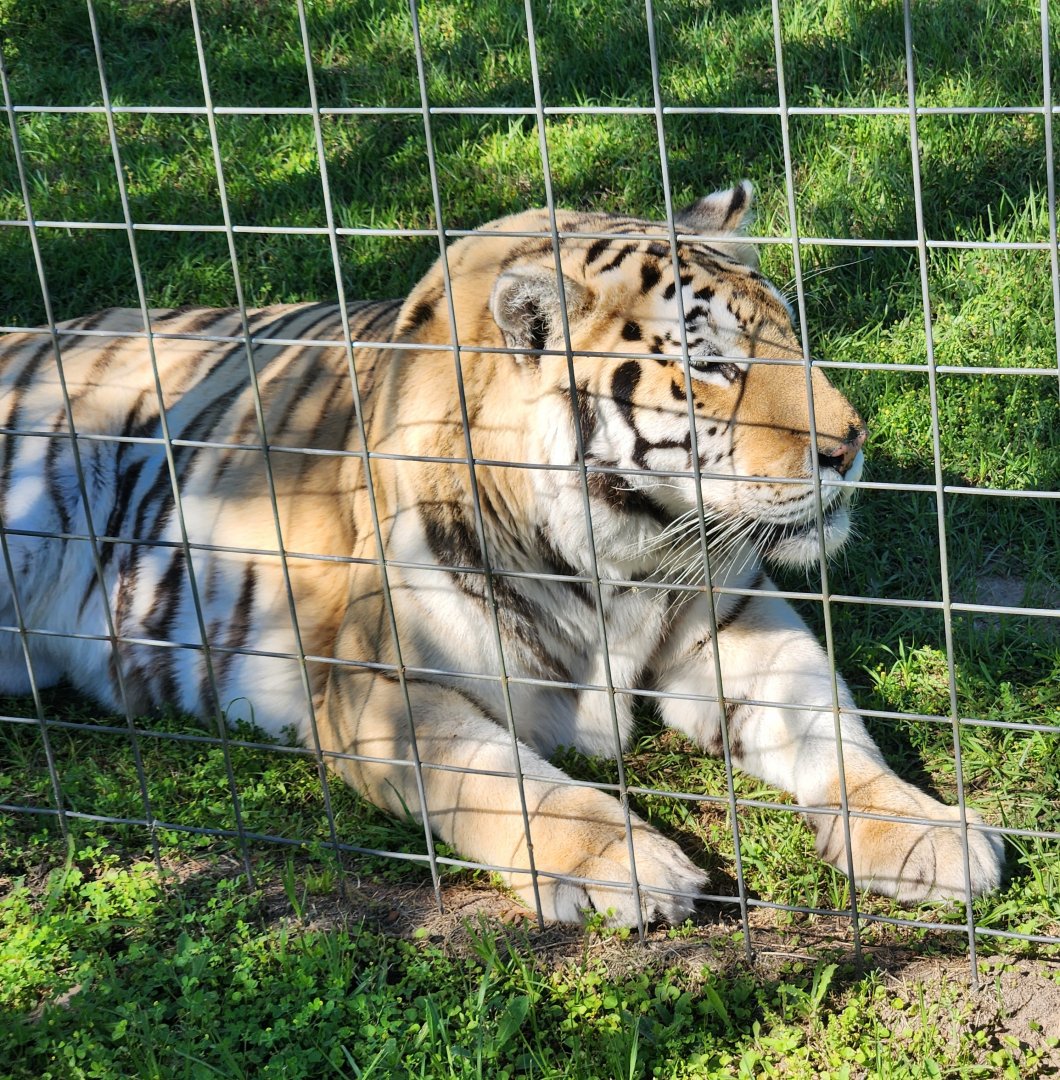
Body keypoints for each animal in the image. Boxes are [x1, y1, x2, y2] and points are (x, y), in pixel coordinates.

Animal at [0, 183, 1004, 924]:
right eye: (714, 366)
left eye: (793, 335)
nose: (851, 445)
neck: (622, 557)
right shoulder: (378, 688)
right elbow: (505, 785)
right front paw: (628, 863)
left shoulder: (735, 625)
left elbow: (834, 730)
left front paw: (926, 832)